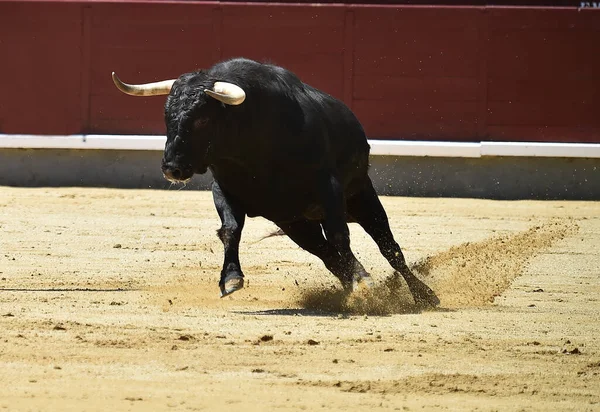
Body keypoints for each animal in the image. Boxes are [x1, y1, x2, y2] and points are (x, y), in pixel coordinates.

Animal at [112, 58, 438, 308]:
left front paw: (364, 285)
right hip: (296, 223)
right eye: (167, 116)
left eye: (202, 119)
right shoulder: (225, 190)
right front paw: (231, 278)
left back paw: (423, 296)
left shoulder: (329, 188)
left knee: (389, 248)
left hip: (361, 197)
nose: (172, 168)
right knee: (326, 254)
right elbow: (230, 230)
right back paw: (355, 286)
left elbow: (340, 237)